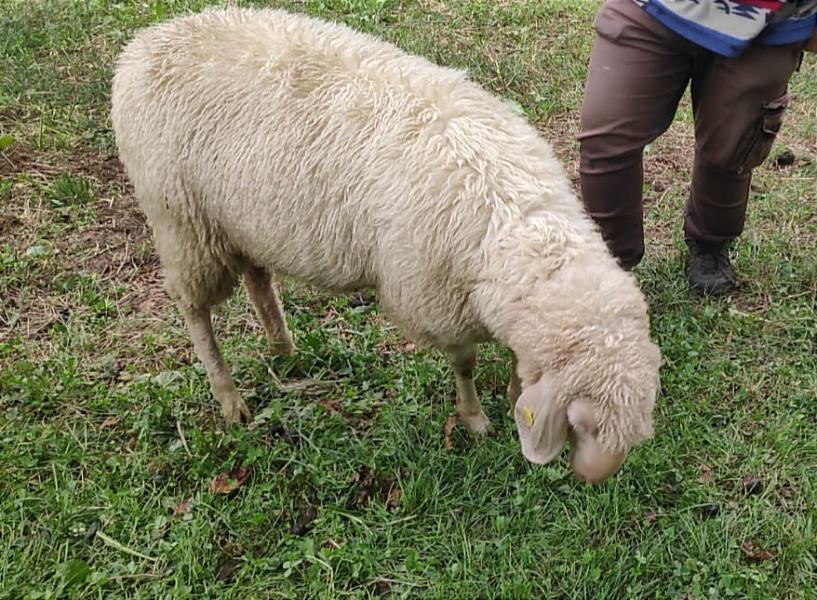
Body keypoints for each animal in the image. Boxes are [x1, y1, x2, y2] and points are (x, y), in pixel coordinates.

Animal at [110, 5, 664, 482]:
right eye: (582, 423)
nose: (594, 478)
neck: (514, 214)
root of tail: (141, 44)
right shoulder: (434, 300)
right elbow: (464, 365)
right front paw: (475, 420)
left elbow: (515, 361)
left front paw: (510, 395)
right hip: (181, 220)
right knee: (193, 309)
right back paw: (229, 398)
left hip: (237, 218)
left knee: (257, 277)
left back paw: (282, 345)